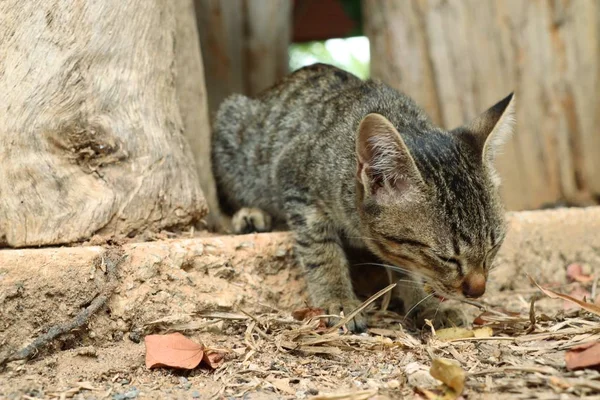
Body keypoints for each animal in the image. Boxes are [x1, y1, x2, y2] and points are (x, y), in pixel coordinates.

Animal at [212, 63, 516, 332]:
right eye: (445, 258)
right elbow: (320, 250)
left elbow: (404, 267)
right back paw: (251, 214)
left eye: (494, 246)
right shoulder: (296, 181)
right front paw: (338, 299)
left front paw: (426, 306)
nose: (478, 290)